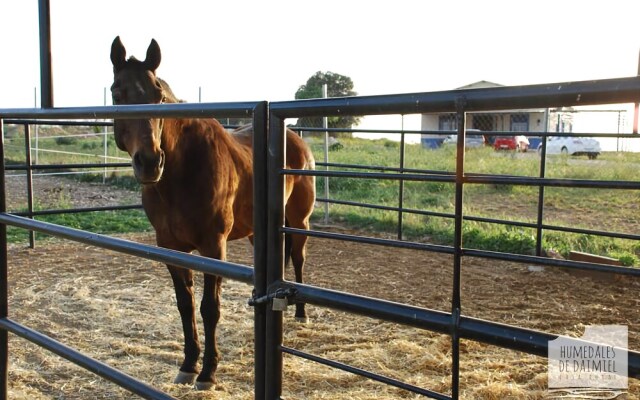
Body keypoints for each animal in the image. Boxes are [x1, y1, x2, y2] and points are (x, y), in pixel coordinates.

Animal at [112, 36, 318, 390]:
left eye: (158, 95)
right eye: (116, 93)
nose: (150, 162)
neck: (182, 170)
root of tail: (295, 138)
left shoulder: (213, 246)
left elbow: (209, 308)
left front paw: (207, 372)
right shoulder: (170, 247)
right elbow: (185, 304)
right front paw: (188, 364)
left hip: (298, 221)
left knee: (299, 259)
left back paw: (301, 313)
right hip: (256, 232)